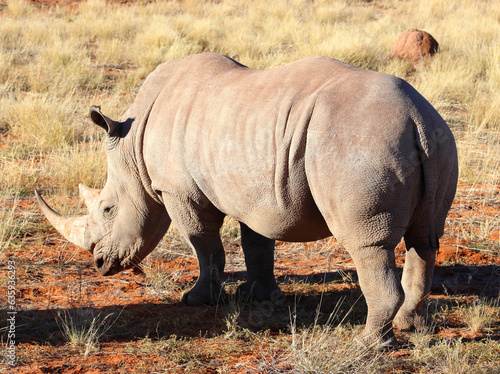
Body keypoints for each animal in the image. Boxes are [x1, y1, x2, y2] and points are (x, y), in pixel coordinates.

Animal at [35, 51, 458, 346]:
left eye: (108, 209)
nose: (100, 264)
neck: (133, 148)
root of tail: (414, 116)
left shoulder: (178, 191)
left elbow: (205, 246)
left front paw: (197, 300)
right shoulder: (256, 192)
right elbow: (256, 243)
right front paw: (259, 296)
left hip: (360, 144)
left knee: (368, 244)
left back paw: (370, 344)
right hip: (437, 140)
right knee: (425, 237)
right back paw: (412, 326)